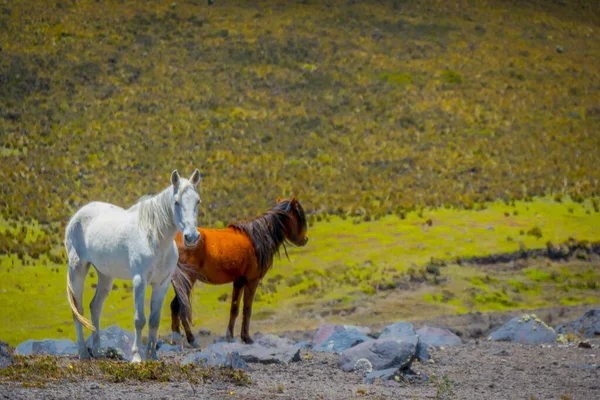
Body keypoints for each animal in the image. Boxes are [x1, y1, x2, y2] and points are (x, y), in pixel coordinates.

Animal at [65, 170, 202, 362]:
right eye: (176, 202)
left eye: (197, 201)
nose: (191, 237)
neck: (155, 239)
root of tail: (76, 217)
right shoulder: (140, 281)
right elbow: (139, 320)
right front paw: (137, 357)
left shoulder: (162, 284)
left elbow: (154, 320)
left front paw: (153, 357)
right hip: (77, 269)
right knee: (78, 309)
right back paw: (83, 353)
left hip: (105, 275)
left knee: (95, 307)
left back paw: (98, 351)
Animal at [170, 196, 308, 344]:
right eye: (298, 216)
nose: (305, 240)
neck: (258, 238)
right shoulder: (252, 281)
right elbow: (247, 309)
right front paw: (246, 337)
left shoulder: (239, 281)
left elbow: (234, 309)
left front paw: (230, 336)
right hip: (187, 280)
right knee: (180, 307)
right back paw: (191, 339)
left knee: (175, 306)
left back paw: (176, 340)